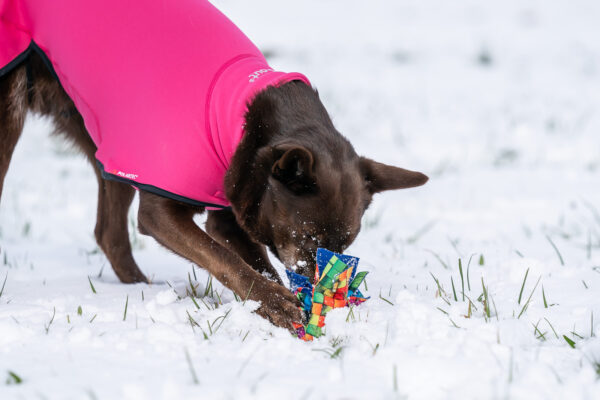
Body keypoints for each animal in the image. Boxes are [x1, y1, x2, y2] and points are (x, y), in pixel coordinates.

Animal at [0, 50, 426, 328]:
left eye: (344, 247)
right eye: (306, 237)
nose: (319, 289)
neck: (243, 122)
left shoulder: (233, 207)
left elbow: (253, 259)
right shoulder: (162, 211)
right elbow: (226, 260)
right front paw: (278, 306)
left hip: (111, 144)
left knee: (108, 232)